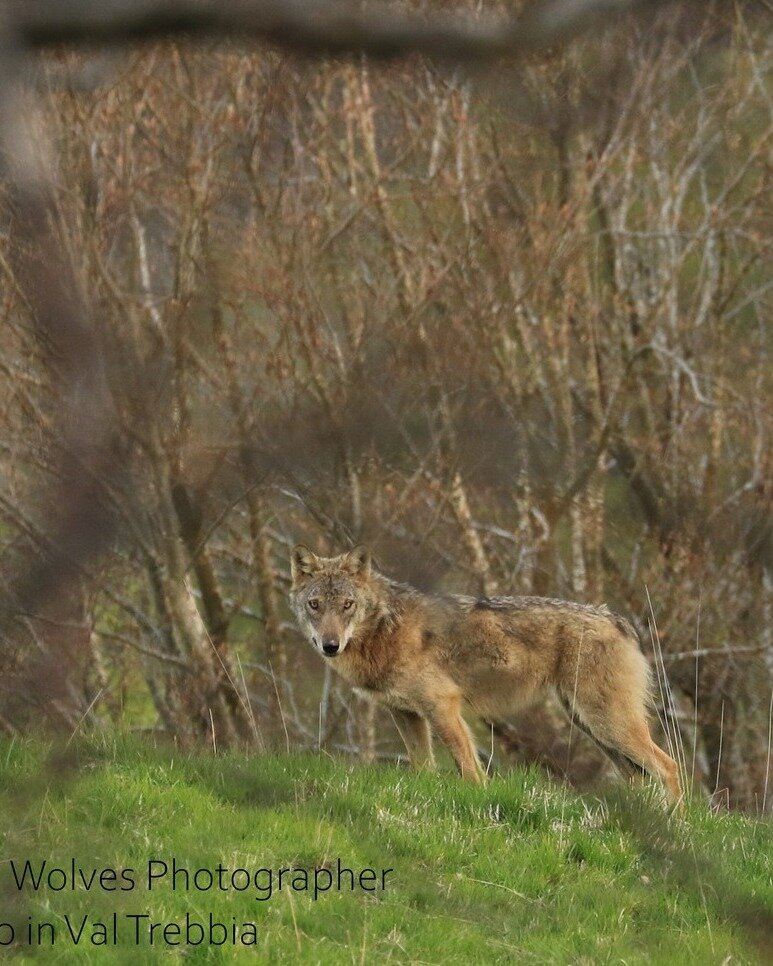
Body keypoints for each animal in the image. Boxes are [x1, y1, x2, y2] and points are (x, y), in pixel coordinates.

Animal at [288, 544, 680, 800]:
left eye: (347, 605)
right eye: (315, 605)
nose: (330, 645)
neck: (384, 629)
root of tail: (618, 620)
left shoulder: (444, 707)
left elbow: (469, 770)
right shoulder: (406, 714)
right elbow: (424, 768)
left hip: (607, 724)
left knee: (669, 767)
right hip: (594, 728)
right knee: (640, 778)